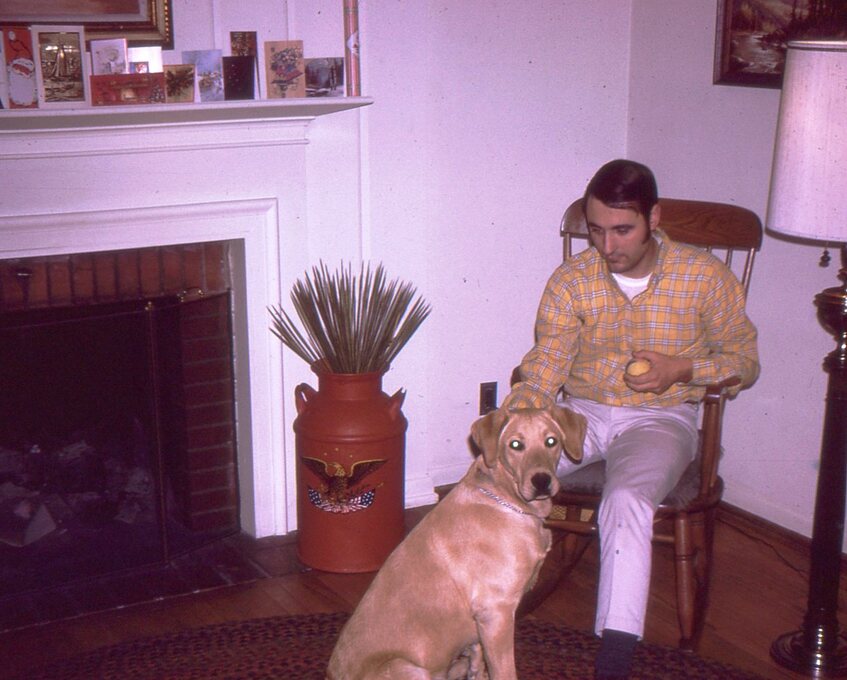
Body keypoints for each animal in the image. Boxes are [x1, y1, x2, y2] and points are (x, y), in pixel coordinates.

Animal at [326, 404, 586, 680]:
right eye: (516, 444)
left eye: (551, 441)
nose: (542, 481)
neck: (507, 499)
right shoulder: (497, 614)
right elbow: (504, 671)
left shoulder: (482, 625)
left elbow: (478, 661)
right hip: (407, 666)